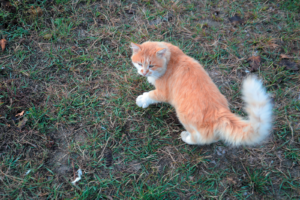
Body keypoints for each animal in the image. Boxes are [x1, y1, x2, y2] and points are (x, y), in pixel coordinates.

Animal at [130, 41, 274, 146]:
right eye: (139, 64)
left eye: (151, 66)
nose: (143, 72)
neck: (171, 58)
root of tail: (220, 112)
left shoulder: (163, 92)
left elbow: (151, 95)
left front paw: (142, 100)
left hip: (184, 116)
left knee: (199, 139)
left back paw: (186, 137)